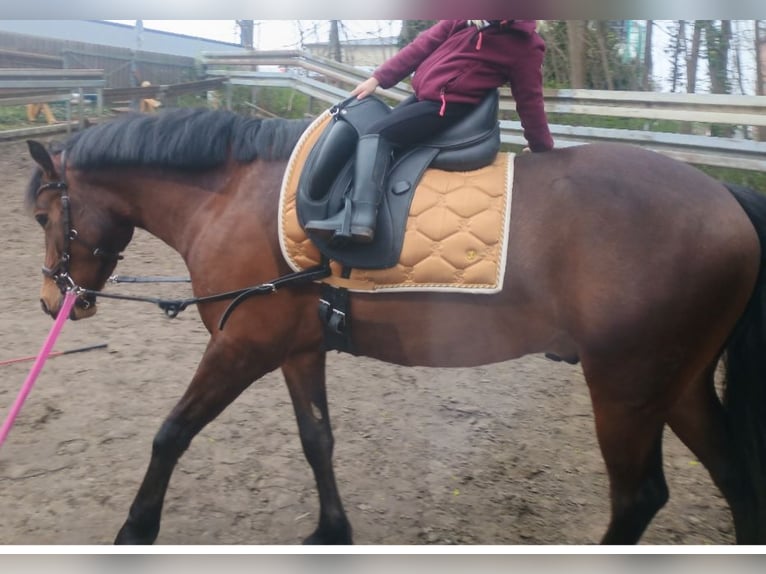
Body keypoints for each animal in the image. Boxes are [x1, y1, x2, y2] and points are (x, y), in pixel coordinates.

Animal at [23, 106, 766, 545]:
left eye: (40, 215)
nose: (53, 299)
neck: (235, 198)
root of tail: (724, 195)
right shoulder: (297, 348)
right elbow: (317, 440)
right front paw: (331, 533)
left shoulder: (244, 345)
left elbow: (171, 433)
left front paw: (135, 530)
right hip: (679, 384)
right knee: (735, 476)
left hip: (626, 389)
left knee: (638, 497)